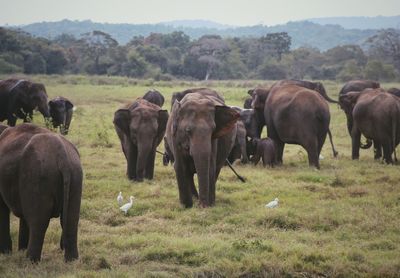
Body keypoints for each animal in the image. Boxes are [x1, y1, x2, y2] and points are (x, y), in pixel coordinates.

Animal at [0, 122, 83, 262]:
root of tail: (63, 157)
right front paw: (18, 250)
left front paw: (5, 253)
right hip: (75, 175)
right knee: (71, 219)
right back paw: (72, 260)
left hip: (37, 176)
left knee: (38, 222)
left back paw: (30, 260)